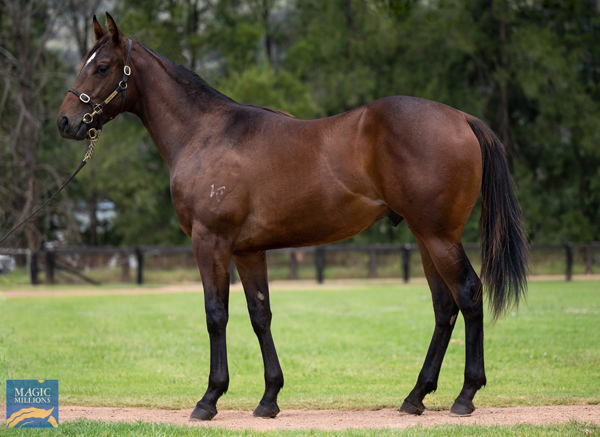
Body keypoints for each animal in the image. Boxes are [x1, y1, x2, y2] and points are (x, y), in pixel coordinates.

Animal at [56, 13, 524, 420]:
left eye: (101, 67)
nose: (65, 122)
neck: (204, 134)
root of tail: (460, 117)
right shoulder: (248, 251)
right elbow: (259, 316)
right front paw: (269, 399)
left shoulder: (210, 241)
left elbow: (215, 314)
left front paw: (209, 399)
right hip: (426, 238)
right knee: (444, 307)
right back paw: (416, 396)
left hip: (439, 236)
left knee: (469, 294)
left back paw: (465, 395)